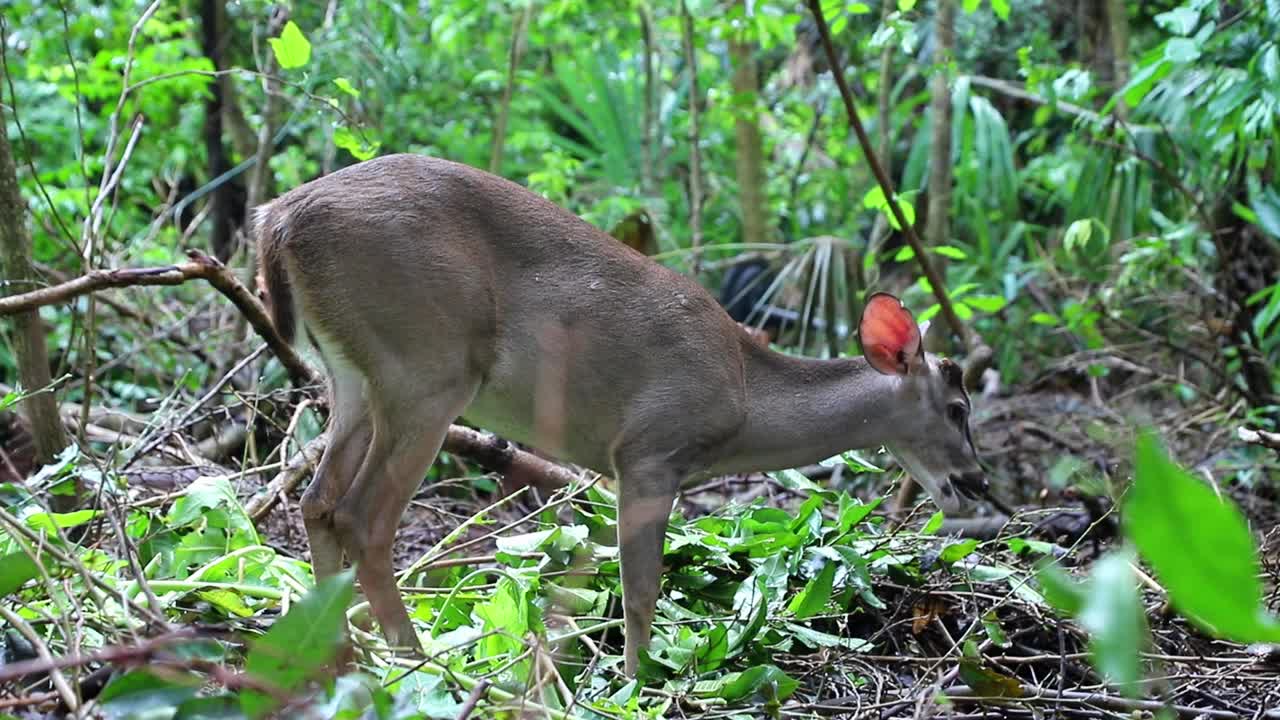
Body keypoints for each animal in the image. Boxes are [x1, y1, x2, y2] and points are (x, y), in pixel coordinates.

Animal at [252, 151, 988, 671]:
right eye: (958, 408)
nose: (978, 483)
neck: (745, 398)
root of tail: (277, 219)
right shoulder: (650, 450)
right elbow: (641, 588)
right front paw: (636, 682)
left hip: (353, 379)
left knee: (317, 501)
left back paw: (338, 655)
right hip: (426, 369)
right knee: (362, 516)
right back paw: (417, 662)